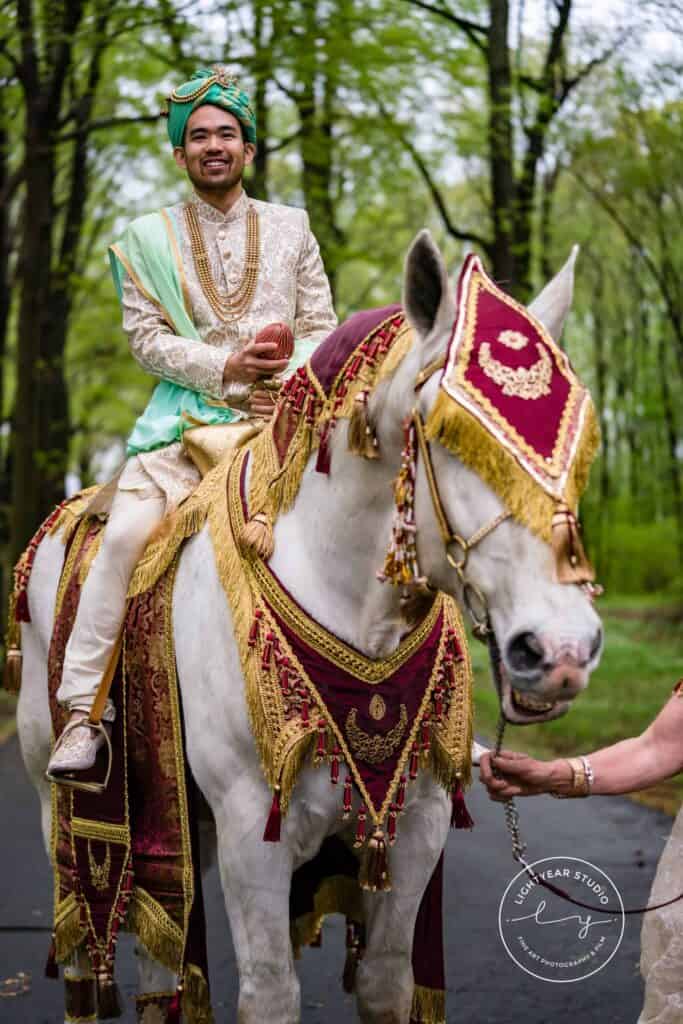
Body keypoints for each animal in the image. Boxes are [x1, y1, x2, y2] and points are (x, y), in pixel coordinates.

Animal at [15, 234, 602, 1024]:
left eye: (582, 442)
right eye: (449, 435)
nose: (562, 650)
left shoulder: (413, 828)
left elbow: (385, 983)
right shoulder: (250, 833)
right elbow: (269, 992)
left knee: (160, 962)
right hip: (66, 808)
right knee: (86, 941)